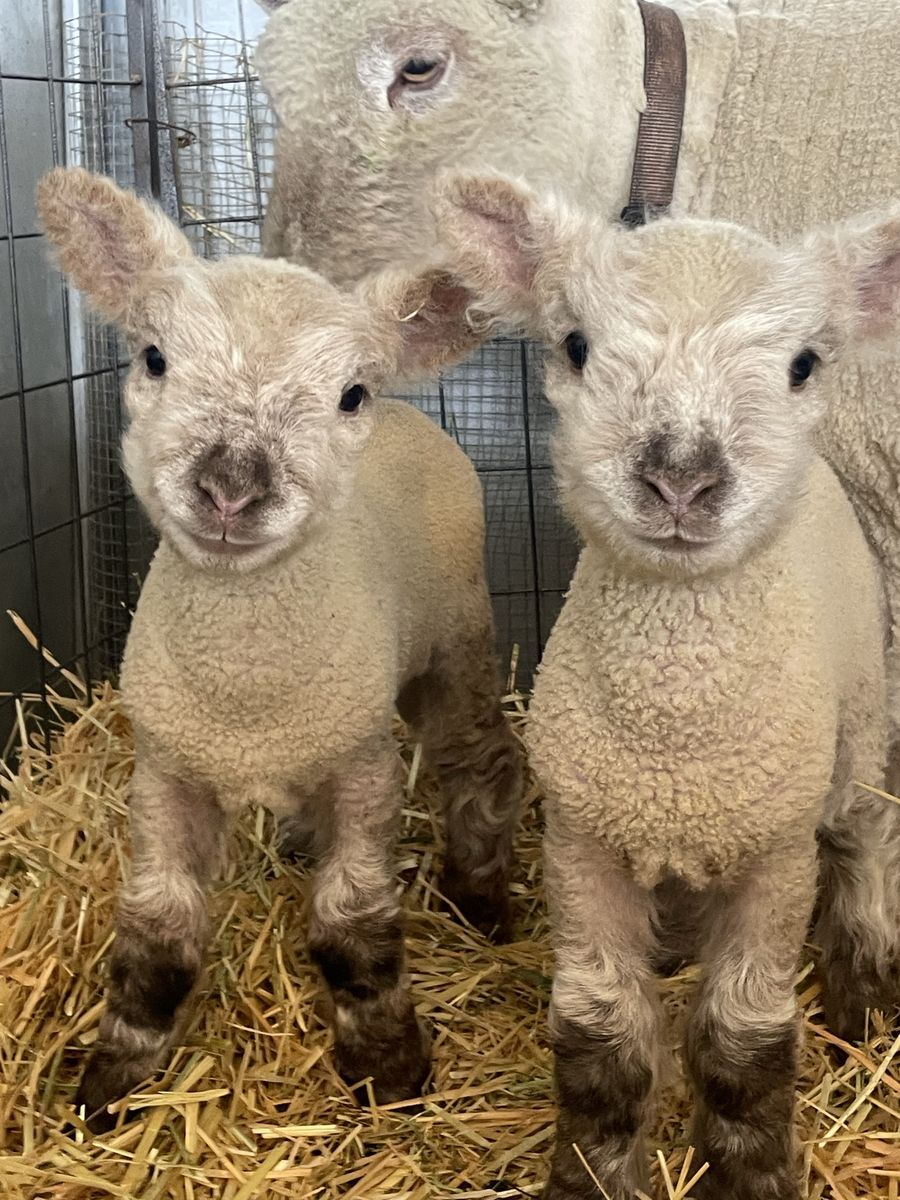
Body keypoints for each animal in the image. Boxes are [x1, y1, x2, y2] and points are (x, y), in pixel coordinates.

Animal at [35, 166, 523, 1131]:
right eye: (153, 358)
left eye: (349, 394)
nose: (231, 487)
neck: (247, 683)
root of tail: (417, 415)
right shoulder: (167, 770)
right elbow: (157, 931)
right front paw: (113, 1084)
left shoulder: (365, 764)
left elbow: (352, 925)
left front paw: (388, 1067)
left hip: (456, 633)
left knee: (477, 757)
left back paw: (484, 894)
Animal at [430, 172, 900, 1200]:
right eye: (575, 344)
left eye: (804, 363)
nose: (681, 478)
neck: (675, 739)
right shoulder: (583, 843)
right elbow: (600, 1045)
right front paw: (593, 1176)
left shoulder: (773, 854)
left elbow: (741, 1046)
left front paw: (751, 1177)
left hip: (857, 732)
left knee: (865, 849)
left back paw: (864, 998)